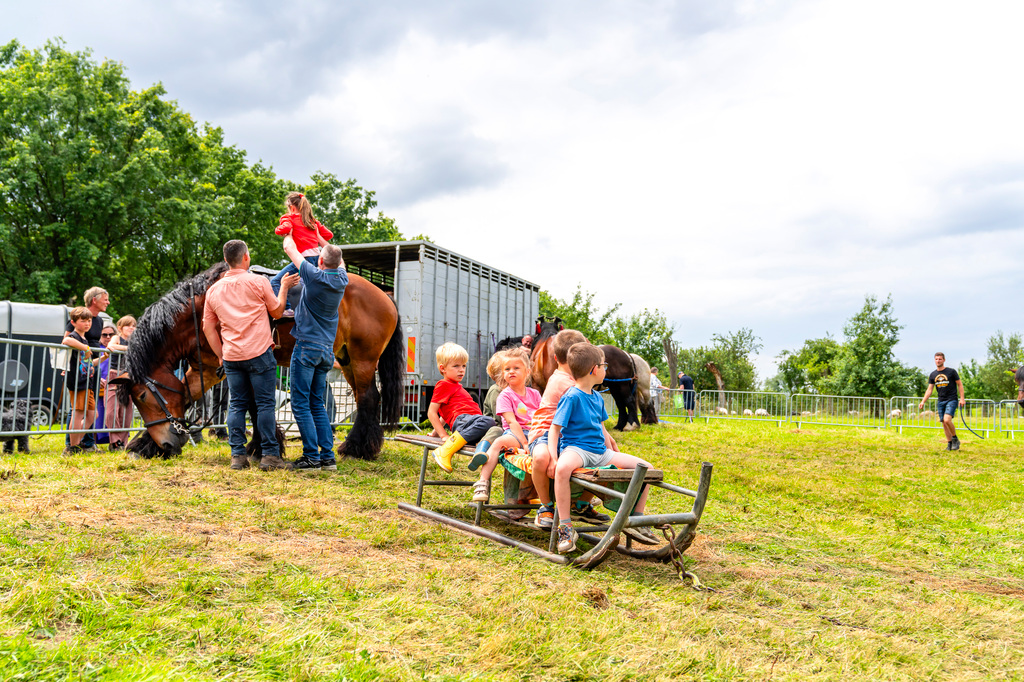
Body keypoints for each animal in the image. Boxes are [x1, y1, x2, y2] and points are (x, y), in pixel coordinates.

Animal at [110, 260, 401, 456]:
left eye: (142, 396)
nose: (167, 443)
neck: (201, 311)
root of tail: (384, 295)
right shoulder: (208, 367)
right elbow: (187, 395)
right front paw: (145, 444)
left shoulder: (239, 362)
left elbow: (252, 403)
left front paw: (261, 445)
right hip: (347, 358)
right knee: (365, 398)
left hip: (363, 359)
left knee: (368, 397)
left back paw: (356, 447)